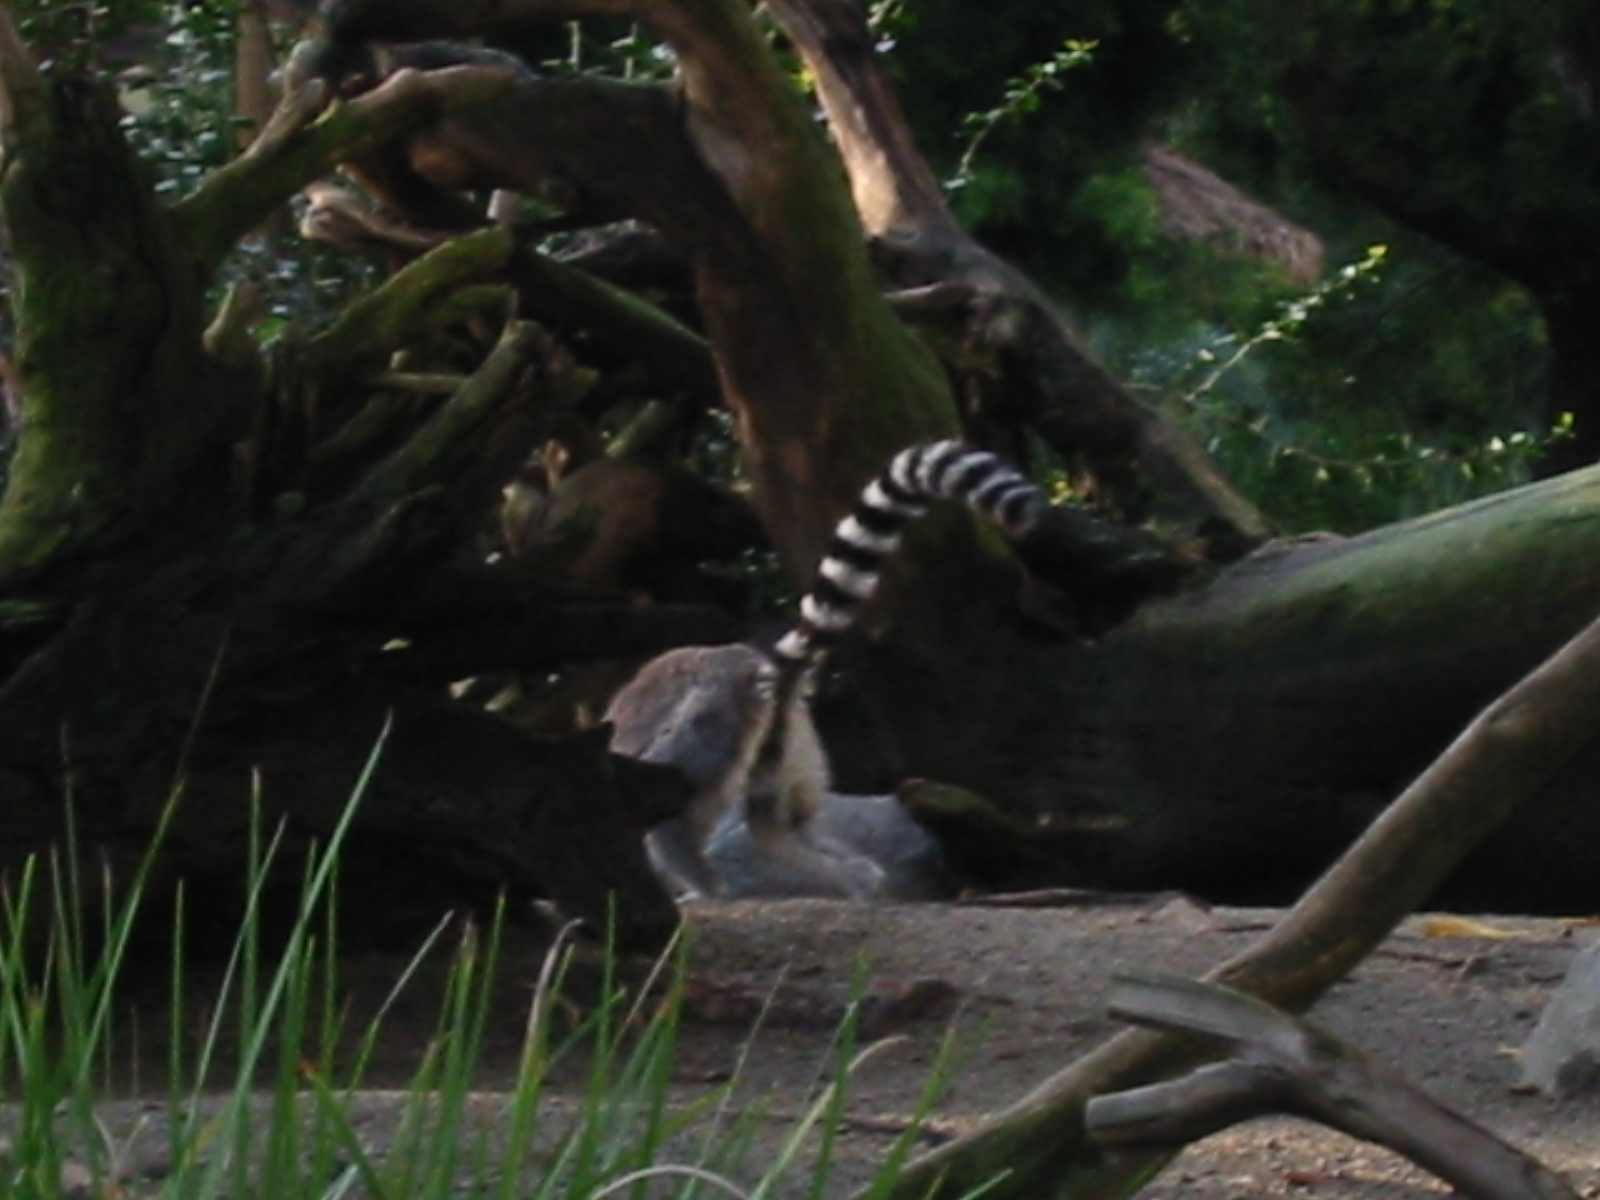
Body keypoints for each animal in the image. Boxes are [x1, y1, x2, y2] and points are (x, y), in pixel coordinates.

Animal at [604, 440, 1044, 900]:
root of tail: (757, 671)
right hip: (792, 749)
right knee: (784, 822)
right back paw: (849, 876)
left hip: (717, 718)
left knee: (680, 803)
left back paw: (705, 883)